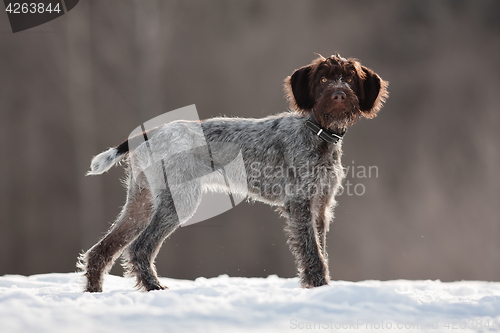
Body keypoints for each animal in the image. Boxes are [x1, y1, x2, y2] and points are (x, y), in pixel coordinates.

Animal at [80, 52, 388, 290]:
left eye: (349, 79)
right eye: (323, 79)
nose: (339, 95)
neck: (319, 133)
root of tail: (151, 132)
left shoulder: (321, 207)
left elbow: (319, 248)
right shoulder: (300, 203)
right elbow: (312, 251)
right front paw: (319, 286)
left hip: (141, 203)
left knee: (100, 251)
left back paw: (94, 292)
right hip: (177, 201)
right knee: (139, 248)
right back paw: (153, 288)